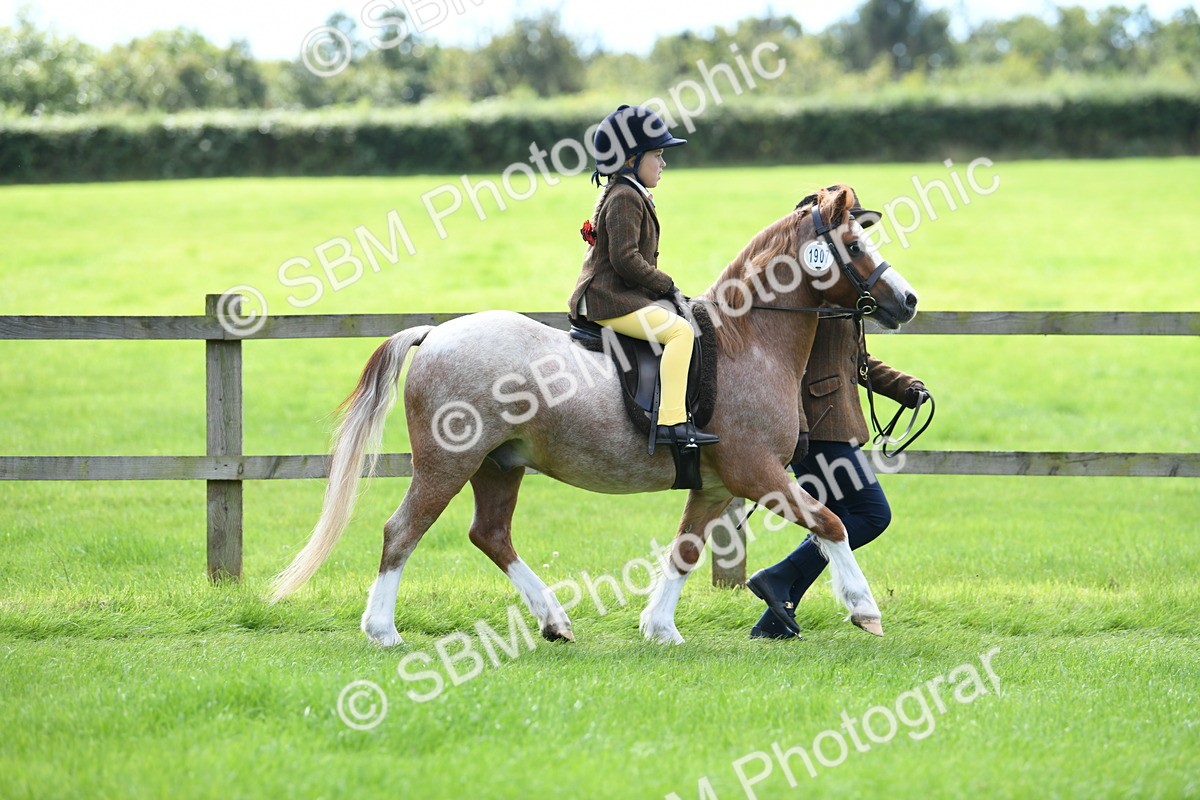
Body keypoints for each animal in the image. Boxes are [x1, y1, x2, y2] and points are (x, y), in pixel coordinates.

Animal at [268, 184, 919, 646]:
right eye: (855, 247)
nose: (907, 301)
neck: (747, 341)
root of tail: (434, 336)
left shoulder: (715, 485)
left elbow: (684, 551)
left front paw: (659, 628)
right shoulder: (755, 472)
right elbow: (830, 524)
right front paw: (864, 610)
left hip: (500, 465)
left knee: (490, 534)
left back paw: (554, 620)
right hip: (446, 465)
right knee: (401, 532)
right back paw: (382, 632)